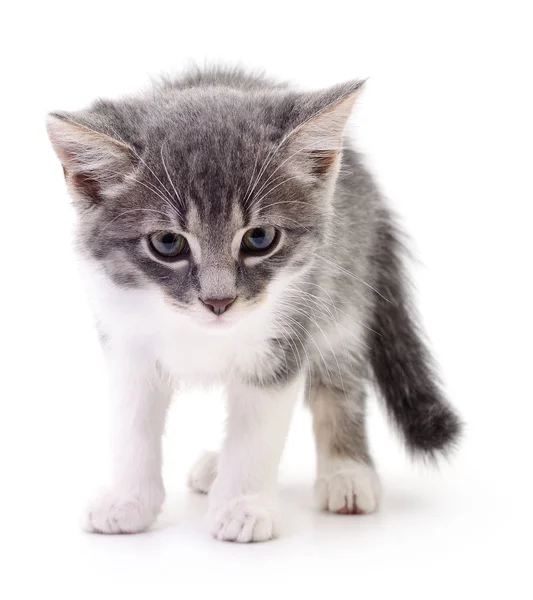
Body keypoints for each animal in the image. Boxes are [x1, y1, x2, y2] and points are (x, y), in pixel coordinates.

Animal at [46, 67, 462, 544]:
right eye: (167, 243)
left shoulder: (286, 332)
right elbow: (132, 424)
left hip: (341, 293)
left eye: (259, 238)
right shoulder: (124, 336)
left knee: (339, 382)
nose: (219, 300)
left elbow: (256, 431)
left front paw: (243, 505)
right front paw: (127, 500)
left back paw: (346, 472)